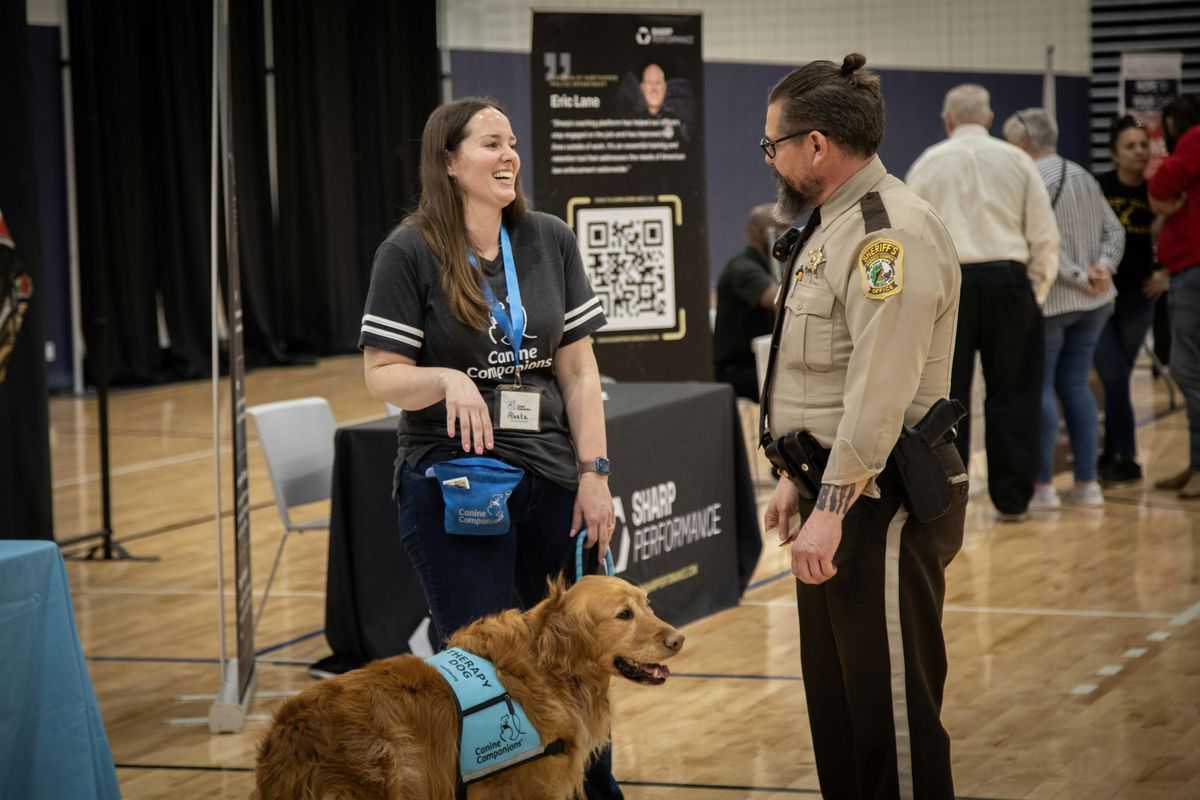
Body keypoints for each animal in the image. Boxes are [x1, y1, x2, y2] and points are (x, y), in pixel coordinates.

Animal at [254, 575, 684, 800]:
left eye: (647, 604)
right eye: (623, 615)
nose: (678, 639)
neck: (548, 668)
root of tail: (291, 733)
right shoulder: (527, 789)